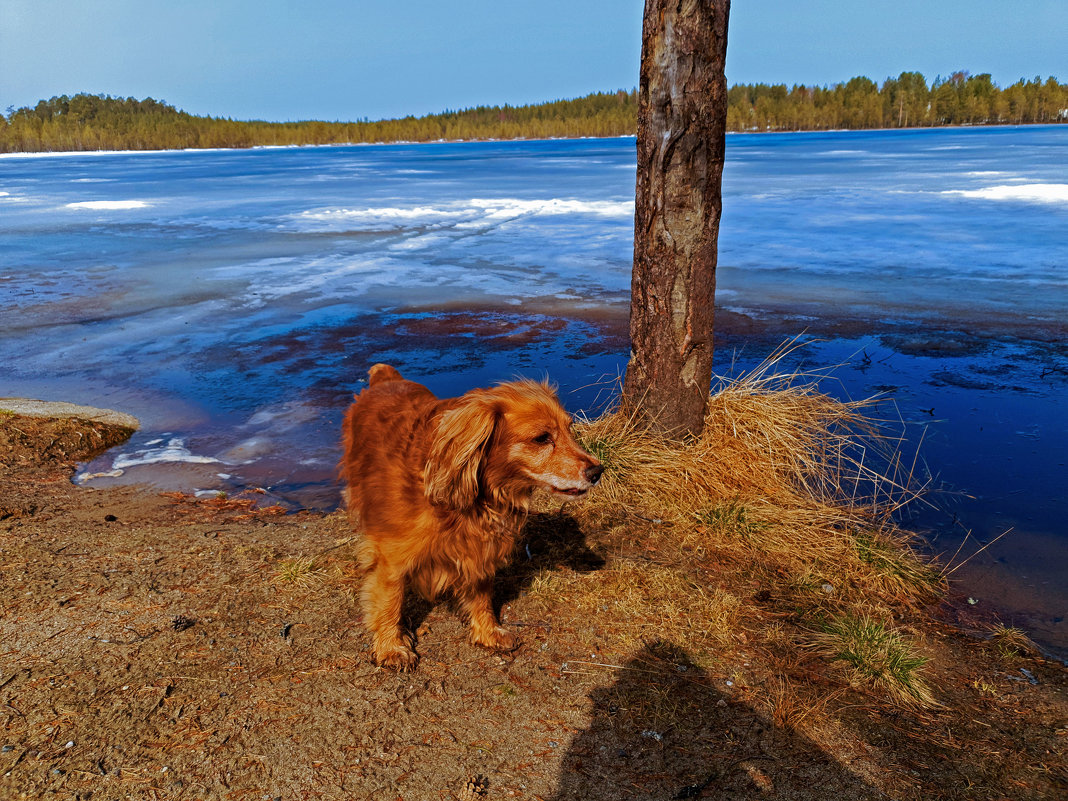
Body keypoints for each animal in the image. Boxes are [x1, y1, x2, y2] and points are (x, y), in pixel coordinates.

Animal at [339, 363, 602, 670]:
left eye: (570, 430)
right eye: (541, 438)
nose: (598, 471)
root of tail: (385, 377)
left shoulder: (480, 547)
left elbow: (482, 594)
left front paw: (487, 631)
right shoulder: (392, 559)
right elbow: (390, 602)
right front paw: (391, 647)